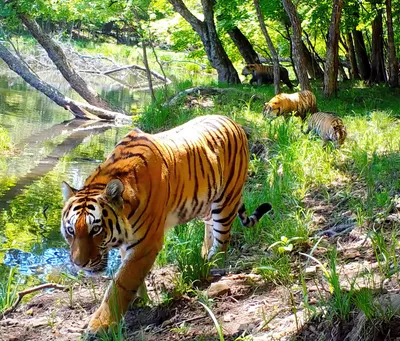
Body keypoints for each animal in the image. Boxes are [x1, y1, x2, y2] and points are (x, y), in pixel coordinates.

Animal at [61, 114, 274, 330]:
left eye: (96, 229)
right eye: (71, 230)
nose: (79, 264)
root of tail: (231, 120)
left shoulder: (146, 243)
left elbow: (122, 282)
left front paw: (100, 325)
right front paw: (140, 300)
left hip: (226, 200)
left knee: (223, 240)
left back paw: (213, 265)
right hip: (206, 205)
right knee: (210, 230)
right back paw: (204, 257)